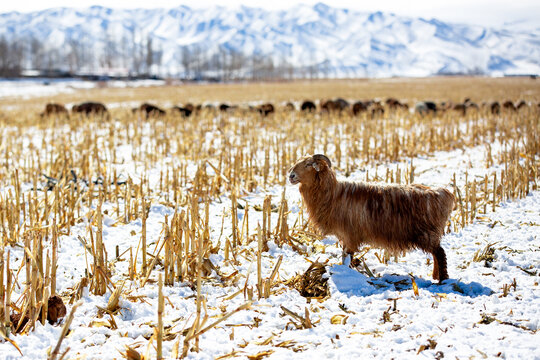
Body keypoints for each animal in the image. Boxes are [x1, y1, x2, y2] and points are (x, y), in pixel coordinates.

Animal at [288, 155, 454, 282]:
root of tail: (442, 193)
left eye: (309, 164)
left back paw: (442, 279)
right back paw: (435, 276)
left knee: (440, 253)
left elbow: (346, 257)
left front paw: (346, 274)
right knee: (436, 253)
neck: (332, 194)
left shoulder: (350, 234)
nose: (291, 176)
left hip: (427, 233)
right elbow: (345, 256)